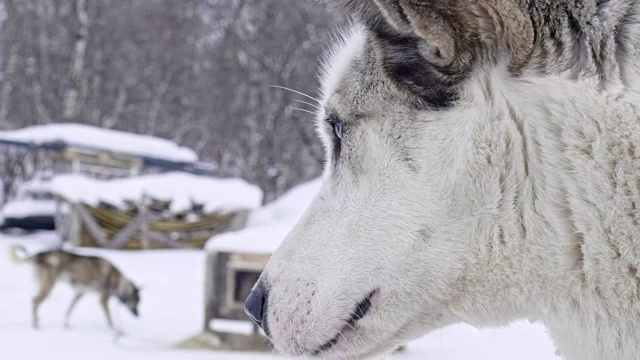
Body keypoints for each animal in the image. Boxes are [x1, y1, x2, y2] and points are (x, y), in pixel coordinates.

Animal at [10, 246, 141, 330]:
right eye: (136, 301)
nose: (138, 315)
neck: (119, 281)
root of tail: (41, 254)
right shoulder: (103, 300)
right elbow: (109, 318)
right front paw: (113, 328)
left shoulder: (79, 294)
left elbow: (69, 310)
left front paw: (66, 324)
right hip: (49, 287)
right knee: (35, 301)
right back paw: (36, 324)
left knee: (34, 301)